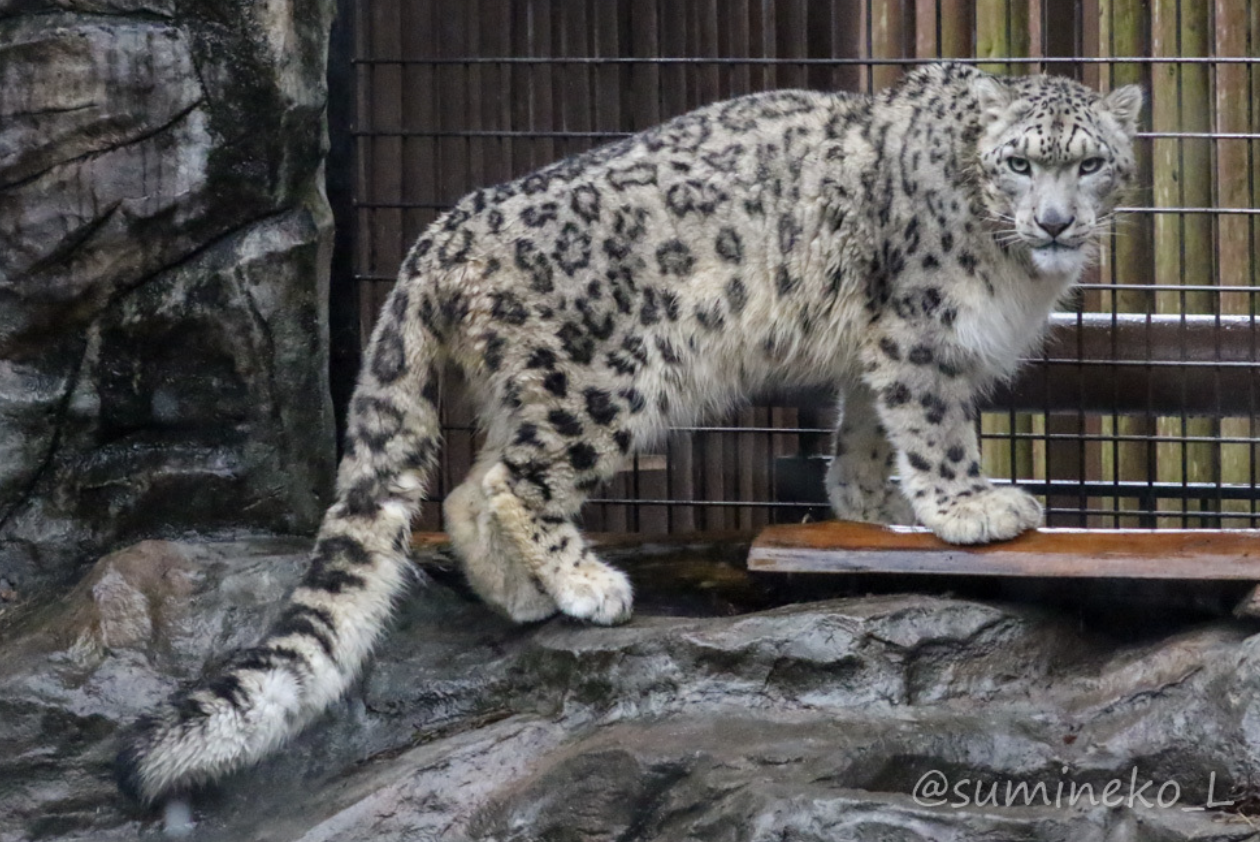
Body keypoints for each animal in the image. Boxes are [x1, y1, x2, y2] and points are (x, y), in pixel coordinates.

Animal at [115, 62, 1144, 806]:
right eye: (1021, 162)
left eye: (1089, 162)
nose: (1056, 221)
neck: (1014, 271)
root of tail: (440, 233)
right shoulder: (922, 333)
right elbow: (931, 423)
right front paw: (970, 506)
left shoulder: (875, 347)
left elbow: (860, 426)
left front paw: (871, 503)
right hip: (601, 382)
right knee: (514, 479)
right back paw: (584, 587)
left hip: (528, 384)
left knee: (468, 483)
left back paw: (522, 598)